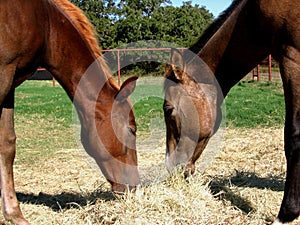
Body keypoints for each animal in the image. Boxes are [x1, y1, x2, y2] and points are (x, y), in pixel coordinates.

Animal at [0, 0, 140, 224]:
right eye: (131, 129)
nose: (133, 185)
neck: (46, 24)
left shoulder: (10, 80)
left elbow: (7, 145)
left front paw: (14, 214)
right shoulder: (3, 74)